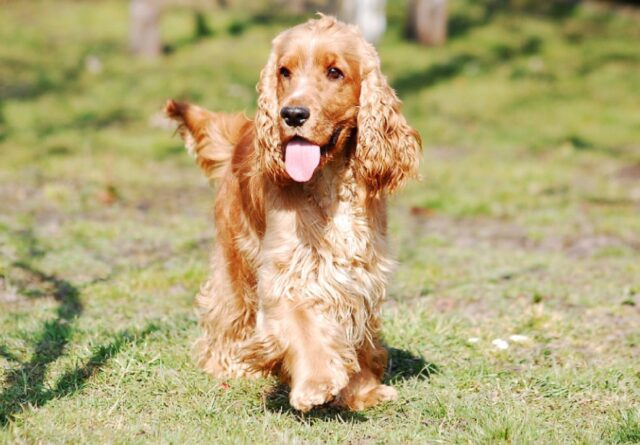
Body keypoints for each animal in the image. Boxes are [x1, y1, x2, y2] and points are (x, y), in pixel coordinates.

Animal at [164, 14, 420, 410]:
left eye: (335, 72)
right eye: (284, 71)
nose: (293, 114)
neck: (330, 182)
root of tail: (243, 132)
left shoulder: (360, 272)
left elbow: (354, 329)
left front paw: (362, 390)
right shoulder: (287, 270)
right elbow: (302, 324)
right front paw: (316, 383)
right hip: (237, 253)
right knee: (227, 307)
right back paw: (229, 364)